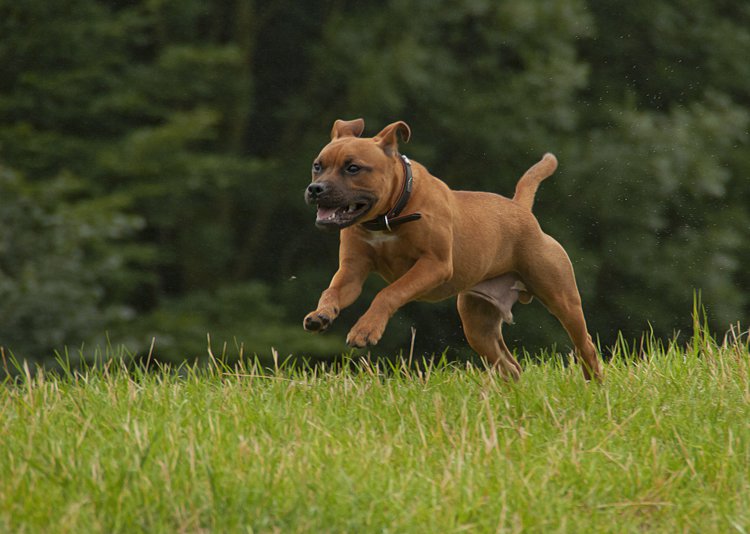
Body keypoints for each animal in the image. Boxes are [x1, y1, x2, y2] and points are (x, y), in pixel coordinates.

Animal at [302, 120, 604, 384]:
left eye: (353, 168)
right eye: (318, 166)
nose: (315, 189)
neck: (390, 213)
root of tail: (520, 209)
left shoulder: (433, 265)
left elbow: (388, 293)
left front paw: (365, 330)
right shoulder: (352, 271)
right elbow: (332, 291)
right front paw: (322, 313)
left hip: (561, 298)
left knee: (585, 344)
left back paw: (594, 386)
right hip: (477, 323)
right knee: (509, 366)